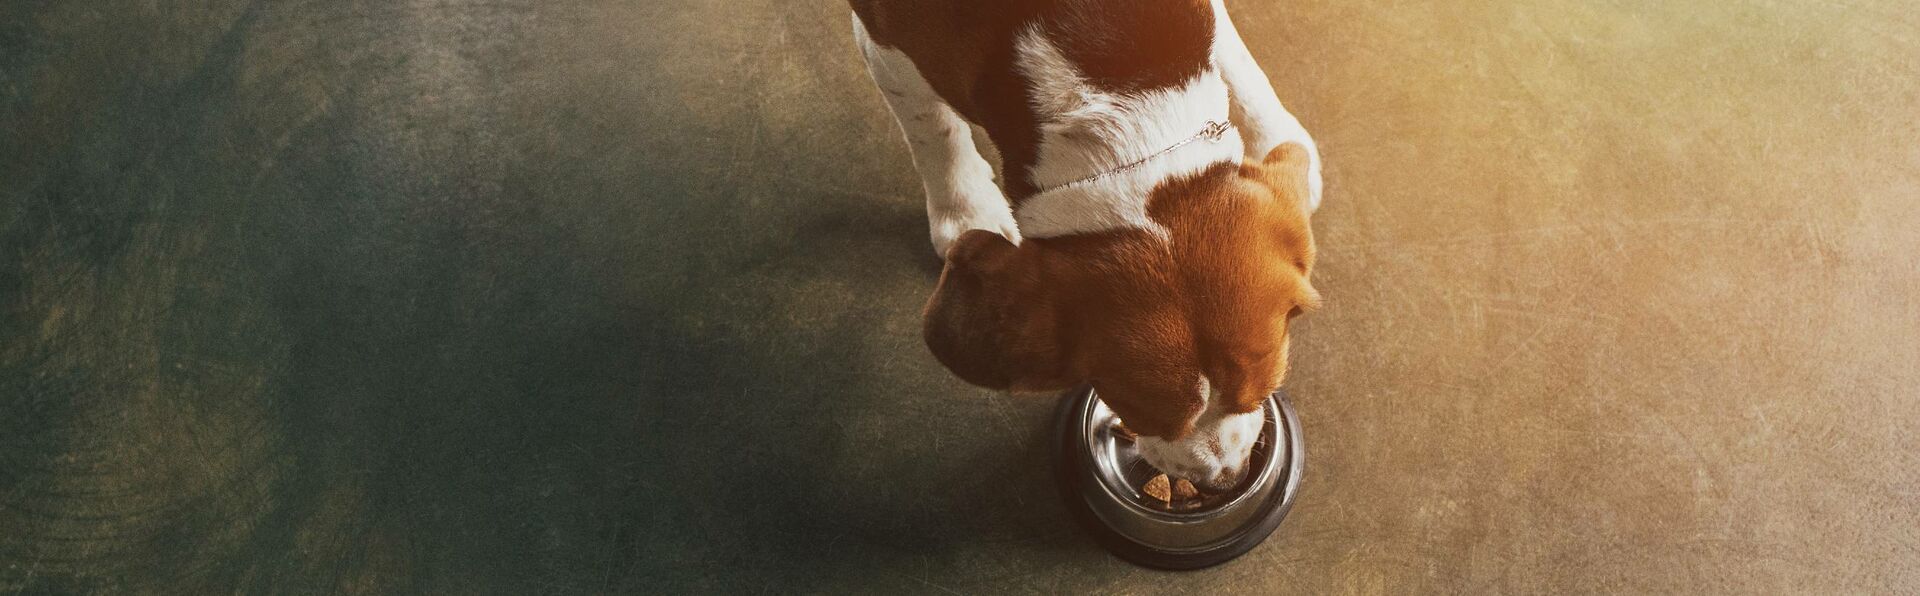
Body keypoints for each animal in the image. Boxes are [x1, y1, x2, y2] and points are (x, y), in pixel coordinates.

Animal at [856, 0, 1320, 492]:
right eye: (1138, 412)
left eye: (1262, 391)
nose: (1226, 480)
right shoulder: (884, 43)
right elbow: (933, 130)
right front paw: (964, 210)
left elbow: (1232, 51)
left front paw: (1272, 130)